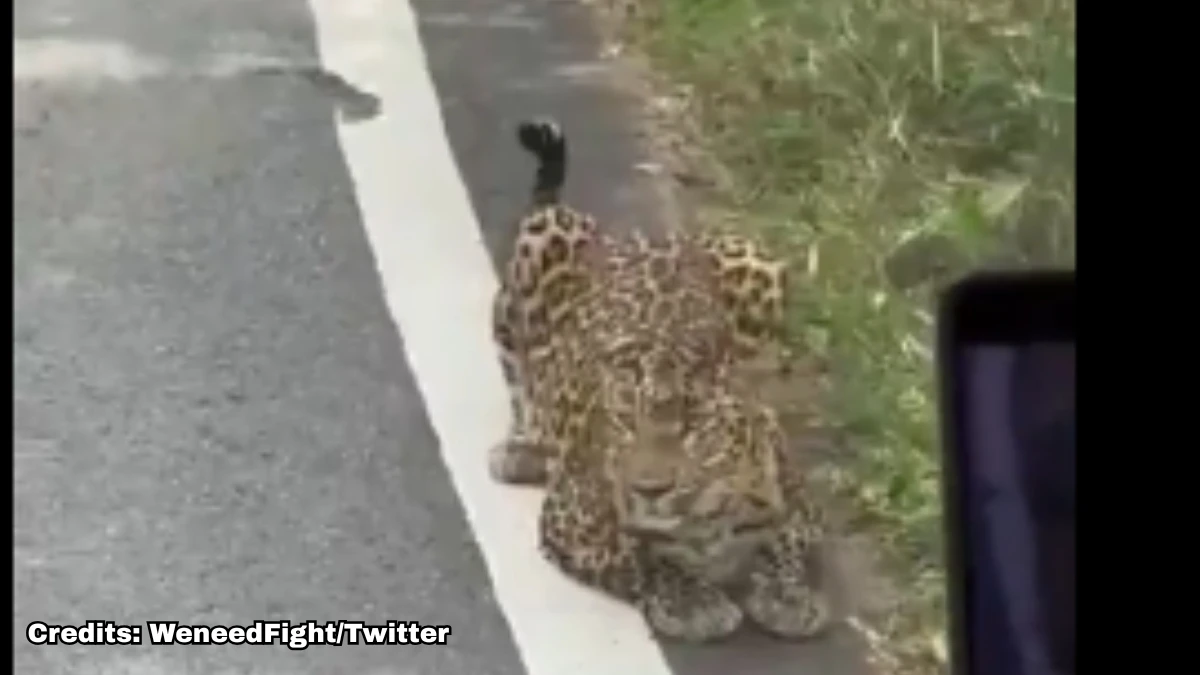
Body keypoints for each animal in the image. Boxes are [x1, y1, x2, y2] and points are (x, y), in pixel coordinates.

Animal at [487, 117, 832, 643]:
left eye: (692, 432)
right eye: (626, 423)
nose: (650, 490)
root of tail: (625, 235)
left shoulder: (802, 511)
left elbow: (787, 543)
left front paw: (786, 594)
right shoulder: (571, 521)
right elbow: (640, 556)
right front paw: (691, 601)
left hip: (760, 262)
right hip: (535, 250)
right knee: (522, 384)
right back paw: (521, 451)